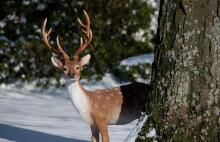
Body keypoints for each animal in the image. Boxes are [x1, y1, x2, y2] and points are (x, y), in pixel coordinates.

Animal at [41, 10, 150, 142]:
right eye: (64, 68)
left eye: (78, 67)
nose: (72, 75)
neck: (86, 105)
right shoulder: (92, 123)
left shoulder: (102, 117)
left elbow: (106, 138)